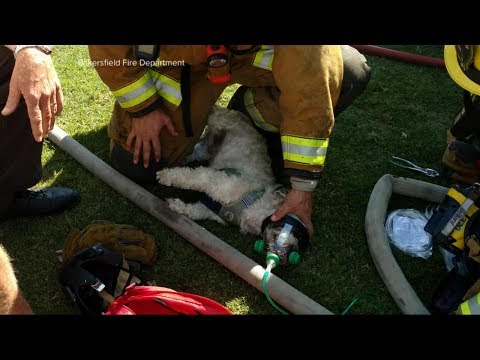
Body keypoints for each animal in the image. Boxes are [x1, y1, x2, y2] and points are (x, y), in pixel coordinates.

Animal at [157, 104, 284, 235]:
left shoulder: (211, 209)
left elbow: (196, 211)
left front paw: (178, 206)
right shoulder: (222, 182)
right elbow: (193, 178)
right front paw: (166, 176)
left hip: (207, 148)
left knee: (196, 151)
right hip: (217, 119)